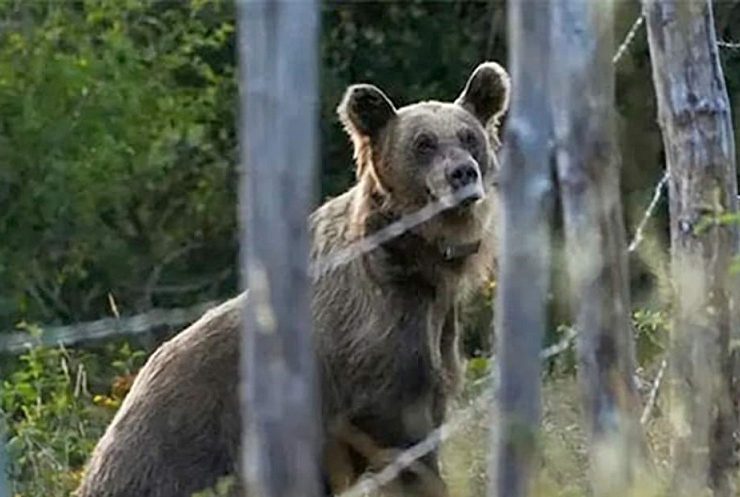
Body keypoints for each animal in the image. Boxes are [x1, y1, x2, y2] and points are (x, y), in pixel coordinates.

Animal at [75, 61, 510, 497]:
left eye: (468, 136)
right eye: (423, 144)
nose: (462, 173)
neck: (416, 261)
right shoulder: (376, 345)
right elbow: (402, 441)